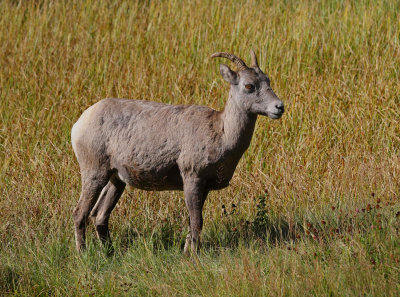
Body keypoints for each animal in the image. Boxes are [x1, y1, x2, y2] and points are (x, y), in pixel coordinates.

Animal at [72, 49, 284, 253]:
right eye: (249, 86)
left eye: (268, 81)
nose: (279, 107)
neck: (221, 132)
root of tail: (79, 124)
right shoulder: (192, 178)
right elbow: (197, 221)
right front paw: (192, 254)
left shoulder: (203, 187)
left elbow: (192, 223)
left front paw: (187, 250)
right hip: (95, 174)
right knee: (80, 213)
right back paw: (83, 253)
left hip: (116, 180)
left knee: (100, 215)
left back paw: (110, 253)